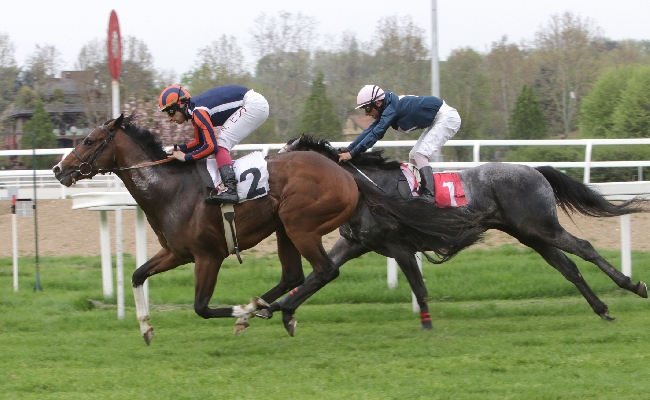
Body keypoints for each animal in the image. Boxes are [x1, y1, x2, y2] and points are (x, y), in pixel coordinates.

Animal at [53, 114, 484, 342]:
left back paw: (278, 309)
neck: (171, 189)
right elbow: (138, 274)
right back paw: (272, 307)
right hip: (283, 228)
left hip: (299, 223)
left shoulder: (208, 256)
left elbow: (201, 307)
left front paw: (243, 311)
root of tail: (342, 168)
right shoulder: (176, 252)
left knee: (323, 271)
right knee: (294, 275)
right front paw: (145, 327)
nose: (58, 169)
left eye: (89, 140)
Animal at [260, 135, 644, 334]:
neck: (365, 189)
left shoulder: (399, 246)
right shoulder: (353, 243)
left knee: (585, 247)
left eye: (285, 159)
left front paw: (427, 326)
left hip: (541, 226)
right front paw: (275, 307)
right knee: (569, 267)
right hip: (531, 234)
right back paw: (602, 308)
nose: (263, 184)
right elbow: (318, 277)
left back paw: (633, 285)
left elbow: (419, 288)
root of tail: (535, 171)